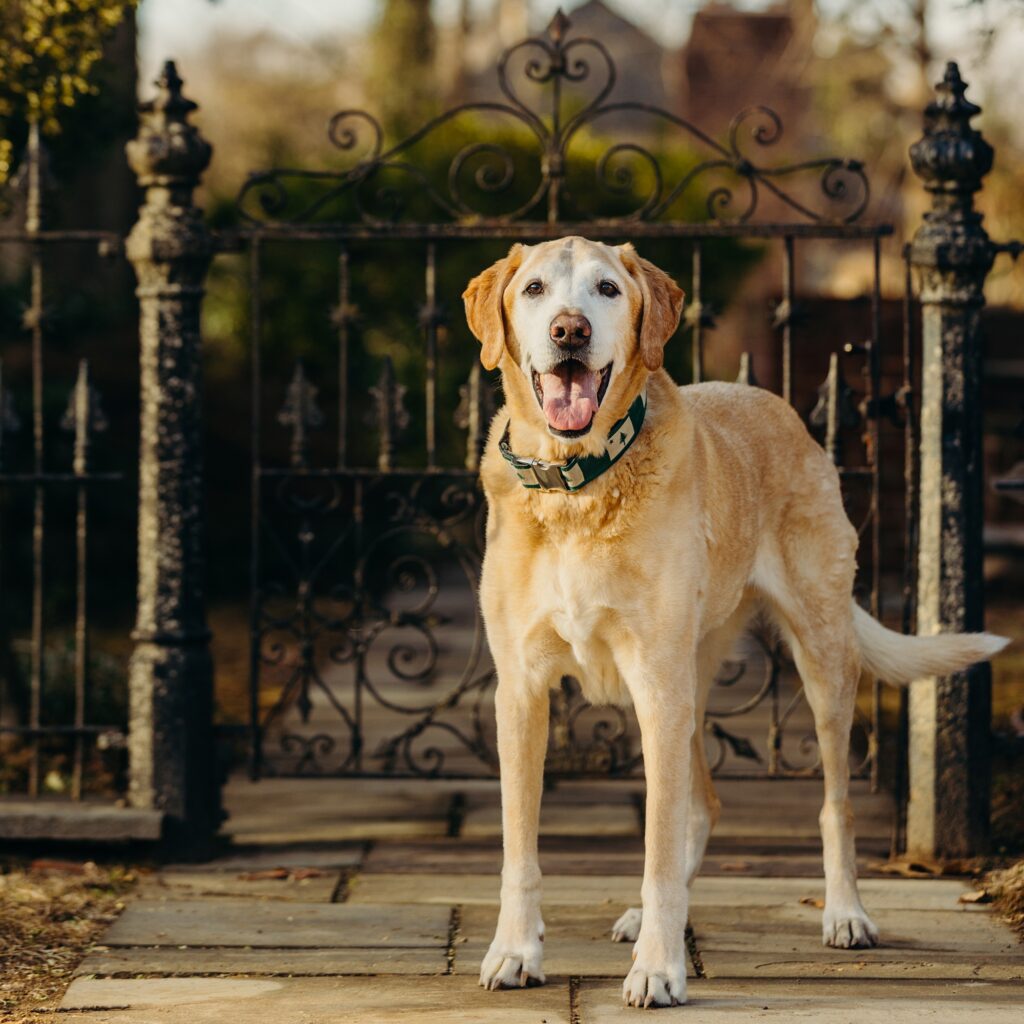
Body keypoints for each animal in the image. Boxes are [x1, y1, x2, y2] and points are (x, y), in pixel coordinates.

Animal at [464, 237, 1007, 1007]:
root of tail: (779, 407)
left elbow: (657, 853)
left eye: (606, 289)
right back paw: (644, 916)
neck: (578, 489)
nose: (570, 331)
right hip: (686, 689)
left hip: (816, 662)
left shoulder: (657, 686)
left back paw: (845, 914)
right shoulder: (522, 691)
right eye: (535, 288)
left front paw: (661, 968)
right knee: (703, 804)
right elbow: (521, 850)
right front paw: (516, 951)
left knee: (832, 805)